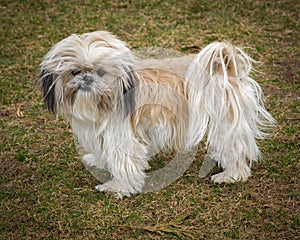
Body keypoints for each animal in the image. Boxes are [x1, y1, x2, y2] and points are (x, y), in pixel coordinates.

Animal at [37, 30, 274, 198]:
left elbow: (124, 161)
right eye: (75, 72)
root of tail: (224, 63)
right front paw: (99, 162)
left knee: (236, 146)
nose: (86, 79)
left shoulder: (122, 135)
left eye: (101, 72)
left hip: (224, 118)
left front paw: (119, 187)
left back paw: (231, 174)